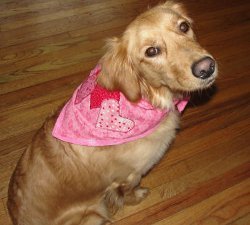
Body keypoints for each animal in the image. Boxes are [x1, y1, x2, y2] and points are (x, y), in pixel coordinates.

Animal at [7, 0, 218, 224]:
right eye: (151, 51)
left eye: (184, 27)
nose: (207, 68)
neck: (144, 98)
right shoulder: (127, 177)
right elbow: (128, 191)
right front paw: (137, 196)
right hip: (93, 215)